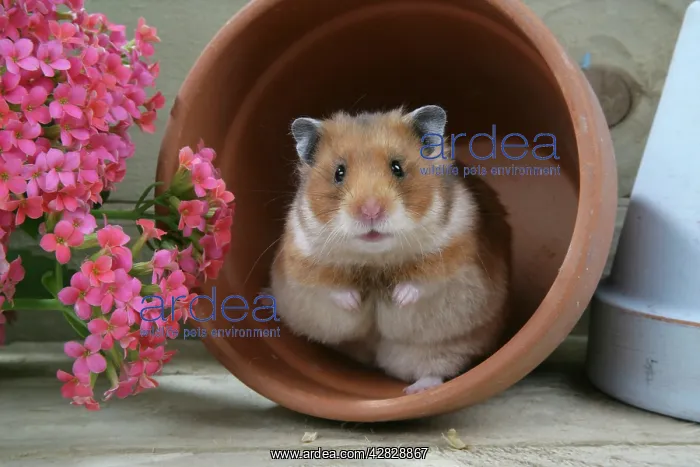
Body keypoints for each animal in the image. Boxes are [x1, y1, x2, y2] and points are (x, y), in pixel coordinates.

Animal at [269, 105, 512, 394]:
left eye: (397, 167)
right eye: (339, 172)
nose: (371, 211)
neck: (375, 260)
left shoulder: (456, 250)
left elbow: (423, 280)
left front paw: (398, 298)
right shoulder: (302, 261)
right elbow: (330, 287)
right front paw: (354, 302)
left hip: (441, 348)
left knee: (436, 369)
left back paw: (417, 390)